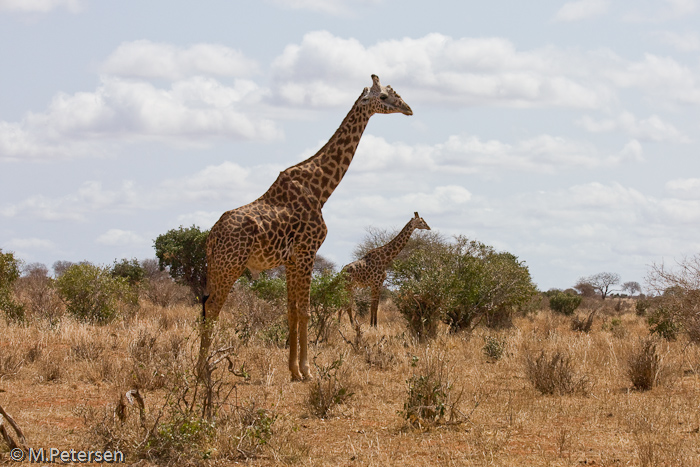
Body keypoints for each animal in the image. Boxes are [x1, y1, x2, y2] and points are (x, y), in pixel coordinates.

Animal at [200, 75, 412, 382]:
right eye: (384, 97)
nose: (408, 108)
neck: (321, 189)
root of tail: (212, 237)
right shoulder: (307, 251)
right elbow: (306, 311)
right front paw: (307, 371)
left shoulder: (291, 260)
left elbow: (291, 311)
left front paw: (293, 370)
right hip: (230, 266)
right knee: (213, 308)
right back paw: (202, 371)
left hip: (216, 267)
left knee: (205, 307)